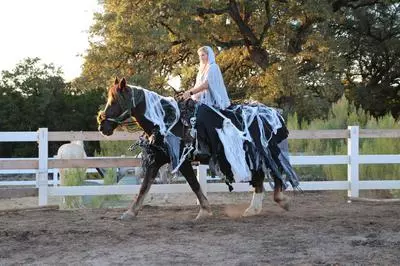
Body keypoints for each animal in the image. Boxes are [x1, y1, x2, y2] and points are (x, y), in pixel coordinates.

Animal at [97, 77, 300, 220]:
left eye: (115, 101)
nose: (102, 126)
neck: (167, 121)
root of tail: (273, 113)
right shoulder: (157, 160)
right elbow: (144, 187)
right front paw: (130, 212)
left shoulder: (183, 161)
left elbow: (194, 184)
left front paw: (204, 211)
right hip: (253, 156)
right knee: (260, 179)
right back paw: (253, 209)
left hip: (267, 153)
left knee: (275, 173)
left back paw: (281, 201)